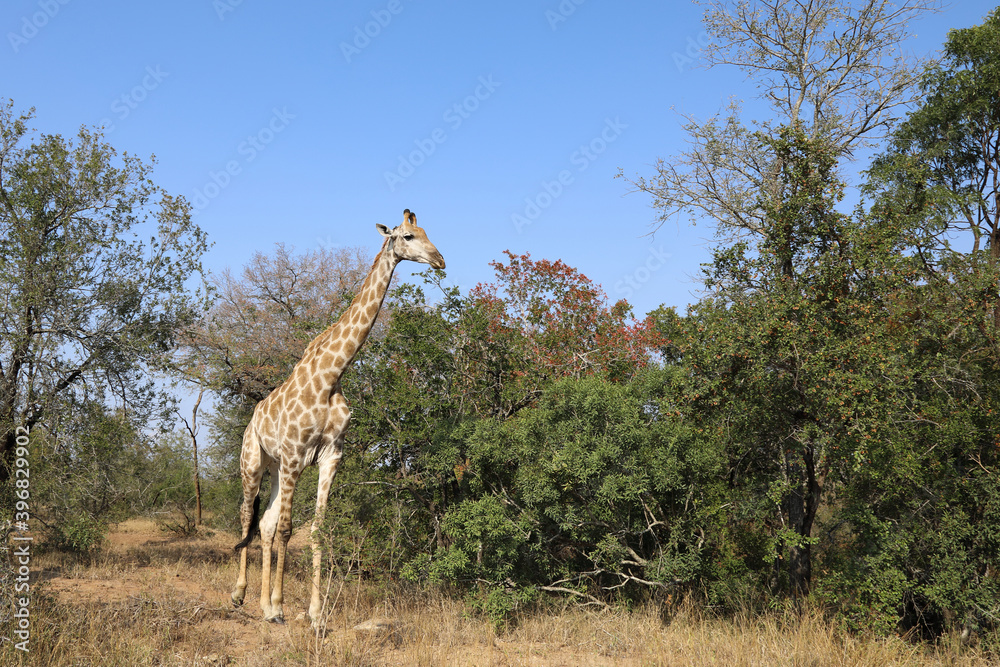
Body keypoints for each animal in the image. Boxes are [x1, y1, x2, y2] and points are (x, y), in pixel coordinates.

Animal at [230, 209, 445, 625]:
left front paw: (313, 613)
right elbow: (288, 529)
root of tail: (252, 418)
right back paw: (240, 595)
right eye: (408, 236)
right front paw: (282, 605)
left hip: (276, 469)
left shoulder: (330, 456)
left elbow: (316, 529)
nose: (441, 260)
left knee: (263, 524)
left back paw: (262, 605)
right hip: (254, 462)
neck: (331, 377)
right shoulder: (295, 457)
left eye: (429, 233)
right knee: (249, 516)